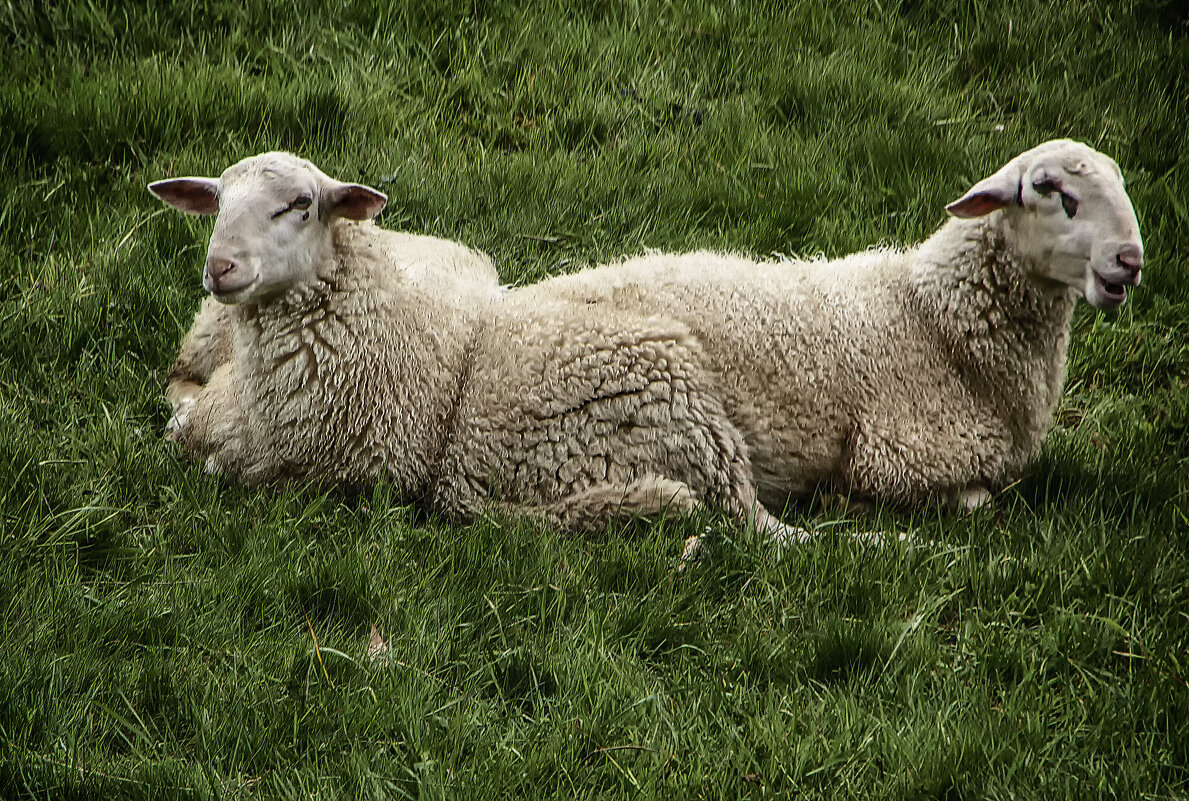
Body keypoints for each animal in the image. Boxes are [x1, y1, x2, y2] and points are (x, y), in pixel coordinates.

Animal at [530, 137, 1141, 511]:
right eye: (1048, 189)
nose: (1129, 259)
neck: (931, 318)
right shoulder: (892, 457)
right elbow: (977, 501)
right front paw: (850, 500)